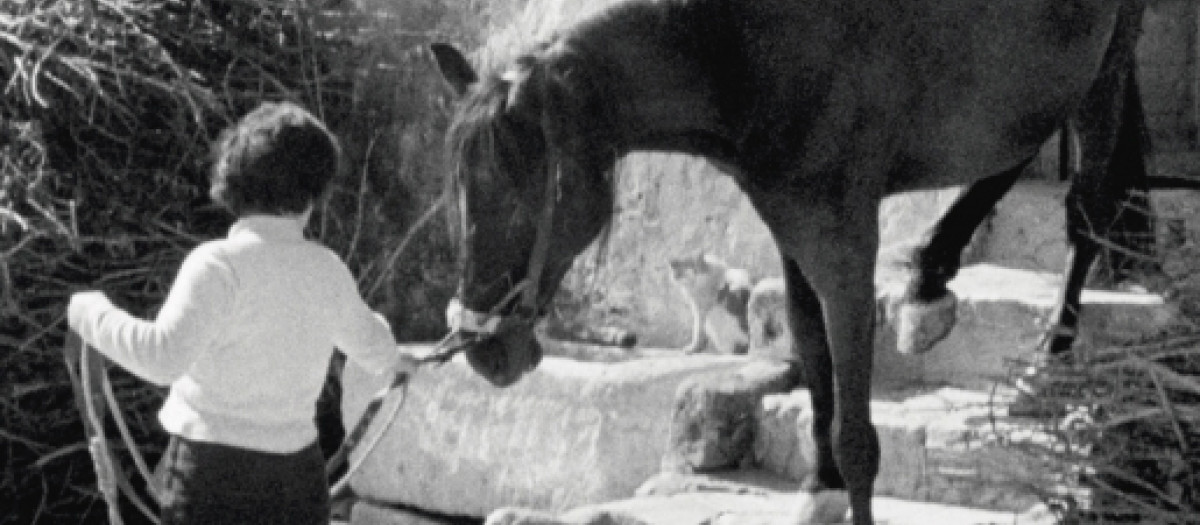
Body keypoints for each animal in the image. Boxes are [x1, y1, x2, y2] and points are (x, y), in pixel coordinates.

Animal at [434, 2, 1152, 522]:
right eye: (464, 187)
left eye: (532, 192)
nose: (484, 351)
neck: (748, 51)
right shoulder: (793, 234)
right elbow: (813, 365)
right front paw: (820, 484)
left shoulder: (843, 247)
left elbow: (857, 435)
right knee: (1013, 150)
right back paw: (930, 271)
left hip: (1107, 66)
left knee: (1086, 204)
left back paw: (1052, 351)